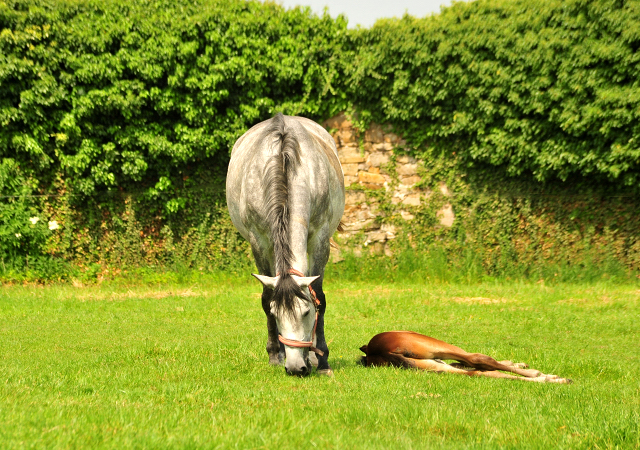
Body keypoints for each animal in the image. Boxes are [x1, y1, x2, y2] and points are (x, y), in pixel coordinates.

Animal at [226, 113, 344, 376]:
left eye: (306, 312)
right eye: (275, 313)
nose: (295, 368)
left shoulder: (320, 239)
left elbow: (319, 295)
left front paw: (322, 360)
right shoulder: (258, 242)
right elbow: (266, 295)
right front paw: (274, 354)